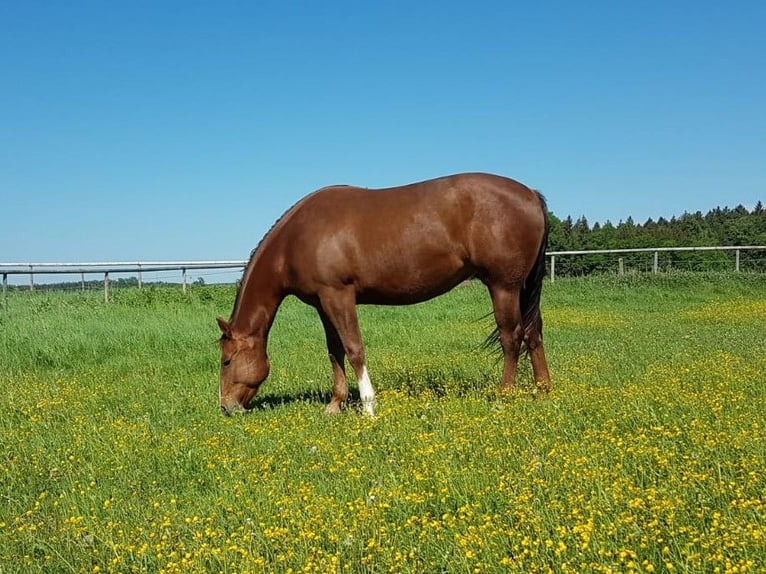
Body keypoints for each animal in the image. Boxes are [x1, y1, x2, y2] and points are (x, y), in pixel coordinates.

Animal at [217, 172, 551, 416]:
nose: (227, 407)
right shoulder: (323, 304)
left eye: (226, 361)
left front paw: (368, 407)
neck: (296, 238)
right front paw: (335, 405)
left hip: (503, 287)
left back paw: (504, 397)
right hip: (521, 288)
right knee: (533, 332)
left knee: (511, 338)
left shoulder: (338, 295)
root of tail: (530, 194)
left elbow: (354, 349)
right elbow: (334, 351)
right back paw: (543, 390)